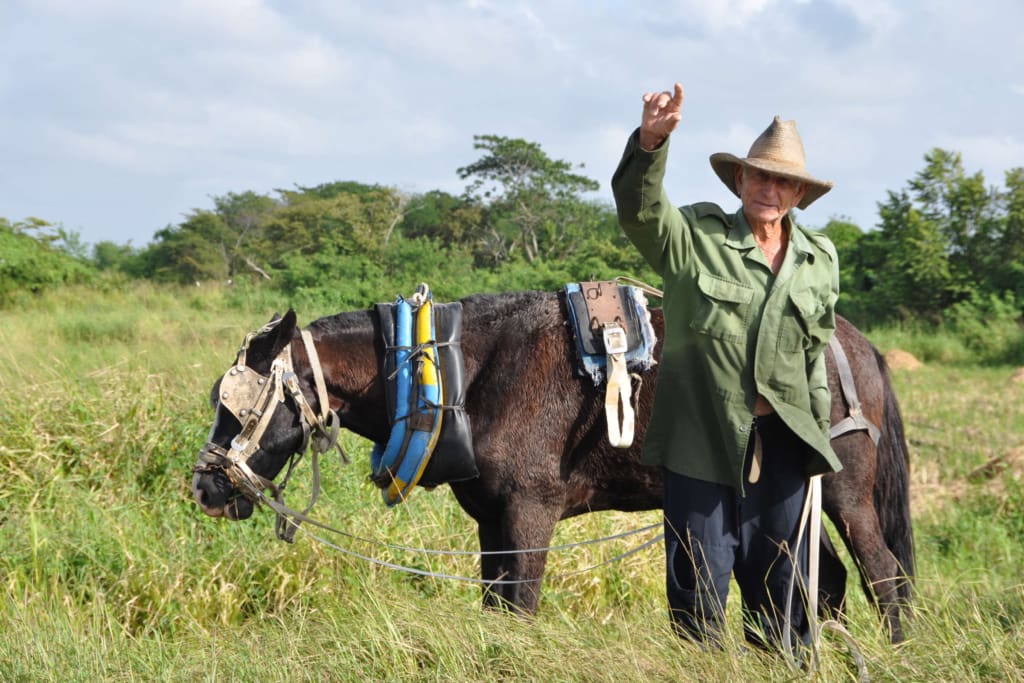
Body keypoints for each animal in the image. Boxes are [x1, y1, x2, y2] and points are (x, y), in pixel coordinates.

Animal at [190, 288, 913, 643]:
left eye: (236, 407)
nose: (205, 486)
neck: (459, 368)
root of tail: (858, 344)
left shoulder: (530, 514)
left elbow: (523, 605)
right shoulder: (491, 522)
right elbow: (495, 607)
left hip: (845, 495)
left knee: (883, 577)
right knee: (826, 581)